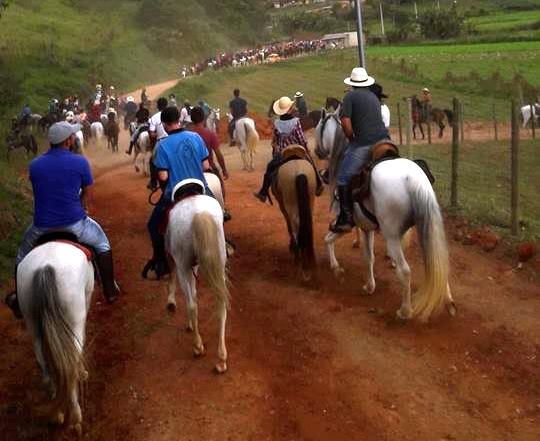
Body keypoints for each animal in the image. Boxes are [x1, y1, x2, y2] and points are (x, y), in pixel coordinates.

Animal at [16, 241, 96, 434]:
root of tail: (45, 267)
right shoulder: (86, 303)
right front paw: (83, 373)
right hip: (74, 316)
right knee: (71, 362)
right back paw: (75, 417)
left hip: (31, 320)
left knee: (42, 359)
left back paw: (56, 406)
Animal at [163, 178, 229, 372]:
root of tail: (199, 213)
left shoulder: (175, 260)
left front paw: (171, 302)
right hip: (219, 262)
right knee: (220, 305)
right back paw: (221, 358)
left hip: (183, 264)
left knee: (192, 304)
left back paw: (198, 346)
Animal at [270, 146, 316, 280]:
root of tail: (298, 171)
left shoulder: (282, 205)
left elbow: (288, 226)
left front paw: (291, 247)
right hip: (310, 200)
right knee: (307, 224)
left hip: (290, 205)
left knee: (295, 225)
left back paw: (299, 259)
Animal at [314, 118, 458, 322]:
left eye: (318, 128)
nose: (317, 151)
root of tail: (413, 179)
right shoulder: (367, 227)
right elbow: (365, 255)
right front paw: (367, 283)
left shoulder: (355, 225)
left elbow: (358, 252)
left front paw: (351, 276)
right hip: (428, 227)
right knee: (438, 264)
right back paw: (448, 302)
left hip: (392, 237)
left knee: (405, 271)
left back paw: (405, 311)